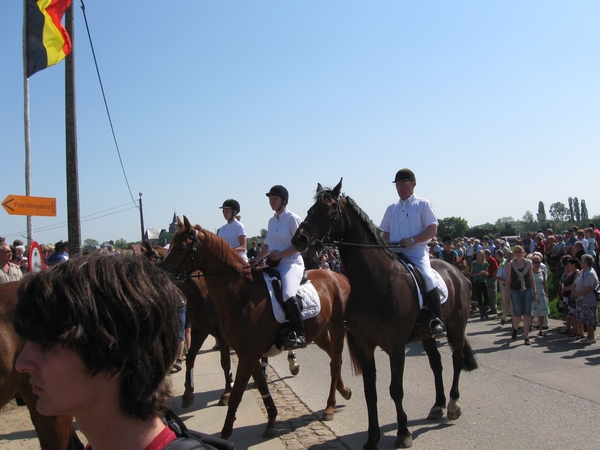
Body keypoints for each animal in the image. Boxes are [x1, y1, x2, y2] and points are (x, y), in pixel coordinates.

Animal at [159, 218, 352, 440]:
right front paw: (271, 420)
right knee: (333, 358)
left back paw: (330, 406)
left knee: (336, 361)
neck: (242, 294)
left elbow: (236, 393)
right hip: (319, 333)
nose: (161, 274)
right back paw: (344, 390)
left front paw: (225, 433)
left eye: (181, 247)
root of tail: (339, 277)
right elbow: (261, 385)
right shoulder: (247, 351)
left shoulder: (248, 353)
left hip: (337, 329)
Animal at [290, 180, 478, 450]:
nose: (299, 239)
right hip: (427, 335)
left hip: (457, 326)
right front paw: (372, 438)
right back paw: (438, 405)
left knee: (456, 359)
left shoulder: (396, 347)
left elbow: (395, 390)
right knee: (436, 364)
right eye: (310, 208)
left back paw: (453, 405)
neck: (374, 282)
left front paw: (403, 432)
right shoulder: (365, 345)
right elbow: (371, 391)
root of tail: (457, 272)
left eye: (325, 208)